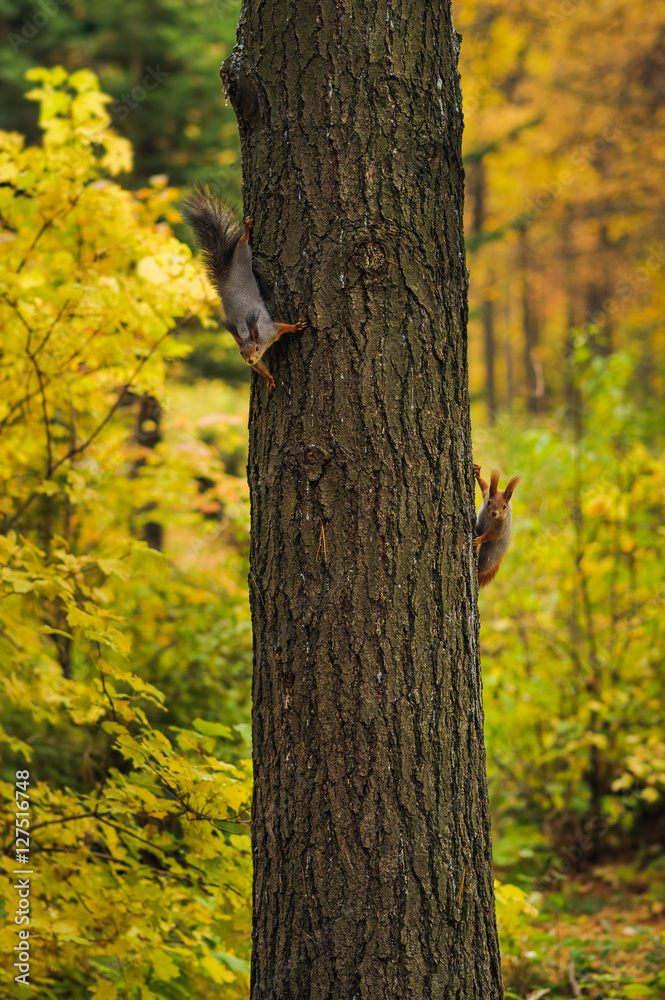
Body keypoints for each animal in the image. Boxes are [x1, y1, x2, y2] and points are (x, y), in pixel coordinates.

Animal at [180, 184, 307, 392]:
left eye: (256, 348)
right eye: (241, 352)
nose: (249, 360)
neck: (252, 335)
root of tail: (225, 278)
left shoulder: (269, 331)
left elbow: (283, 327)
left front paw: (295, 326)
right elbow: (261, 367)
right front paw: (269, 379)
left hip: (242, 258)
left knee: (242, 244)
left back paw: (247, 230)